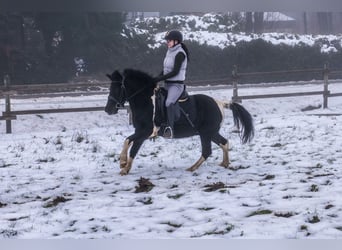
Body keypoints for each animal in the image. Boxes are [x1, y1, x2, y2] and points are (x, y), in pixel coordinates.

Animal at [105, 68, 254, 176]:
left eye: (117, 88)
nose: (108, 109)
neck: (146, 101)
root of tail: (220, 103)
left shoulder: (144, 132)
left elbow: (130, 144)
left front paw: (123, 165)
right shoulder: (141, 133)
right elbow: (130, 145)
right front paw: (125, 165)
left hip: (206, 133)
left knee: (207, 151)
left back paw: (192, 168)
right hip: (210, 133)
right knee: (223, 142)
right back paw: (224, 163)